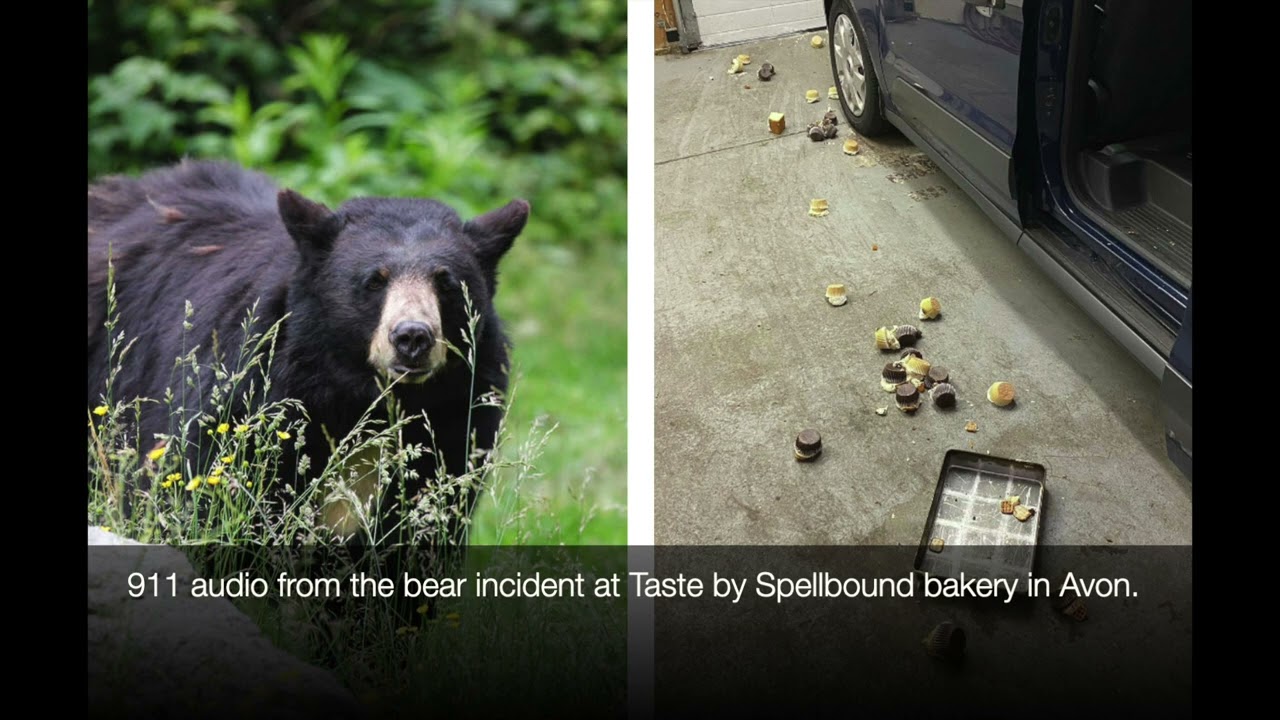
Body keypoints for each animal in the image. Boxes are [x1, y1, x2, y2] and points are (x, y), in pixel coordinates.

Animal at [88, 160, 529, 546]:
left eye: (446, 283)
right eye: (374, 280)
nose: (412, 337)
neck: (357, 397)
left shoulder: (457, 418)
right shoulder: (247, 398)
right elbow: (202, 494)